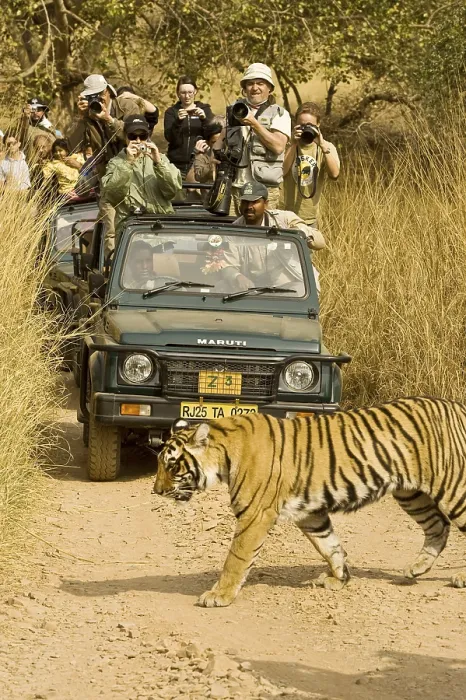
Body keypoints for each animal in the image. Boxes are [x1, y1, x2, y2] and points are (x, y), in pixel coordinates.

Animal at [152, 396, 466, 607]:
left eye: (172, 465)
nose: (156, 491)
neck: (224, 456)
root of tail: (457, 406)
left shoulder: (255, 515)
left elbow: (236, 558)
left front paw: (219, 595)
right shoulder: (310, 514)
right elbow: (330, 547)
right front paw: (339, 578)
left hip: (453, 487)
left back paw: (459, 579)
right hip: (411, 494)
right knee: (438, 526)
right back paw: (416, 569)